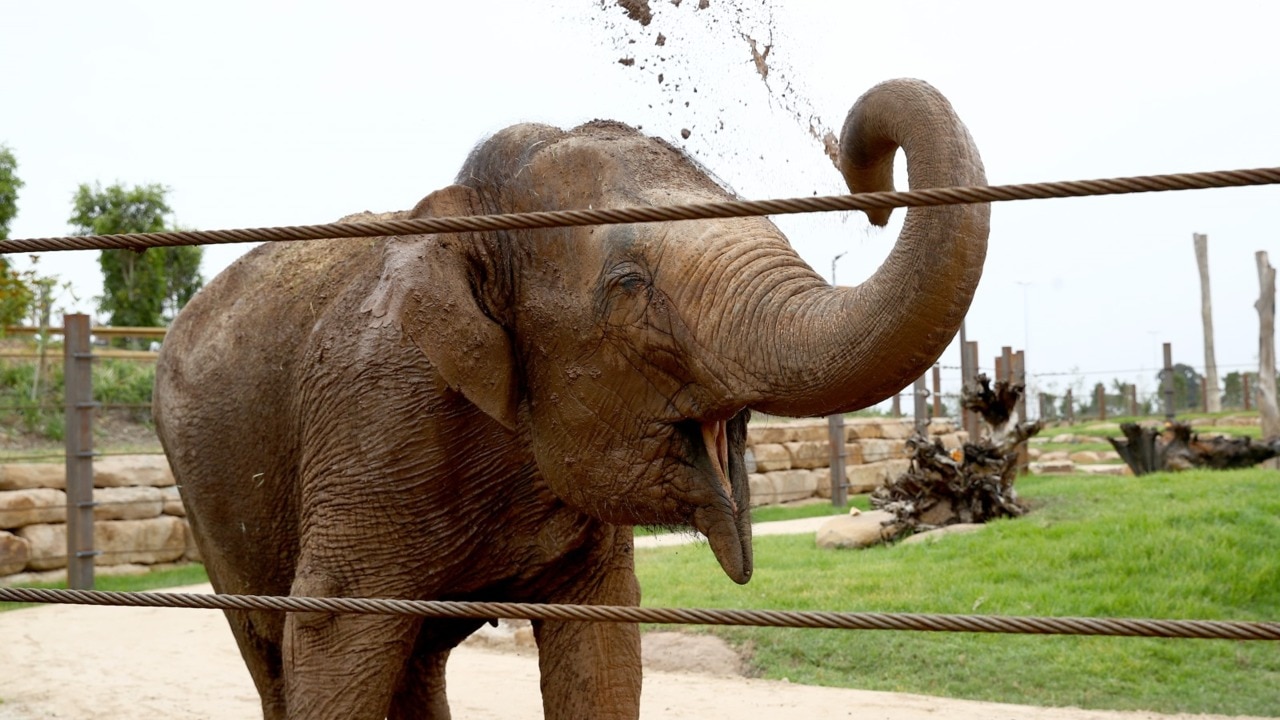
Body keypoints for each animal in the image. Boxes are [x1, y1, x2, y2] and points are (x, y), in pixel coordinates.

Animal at [152, 78, 988, 717]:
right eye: (629, 286)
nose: (871, 191)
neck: (468, 217)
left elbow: (604, 645)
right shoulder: (369, 425)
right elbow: (330, 637)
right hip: (209, 501)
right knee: (276, 657)